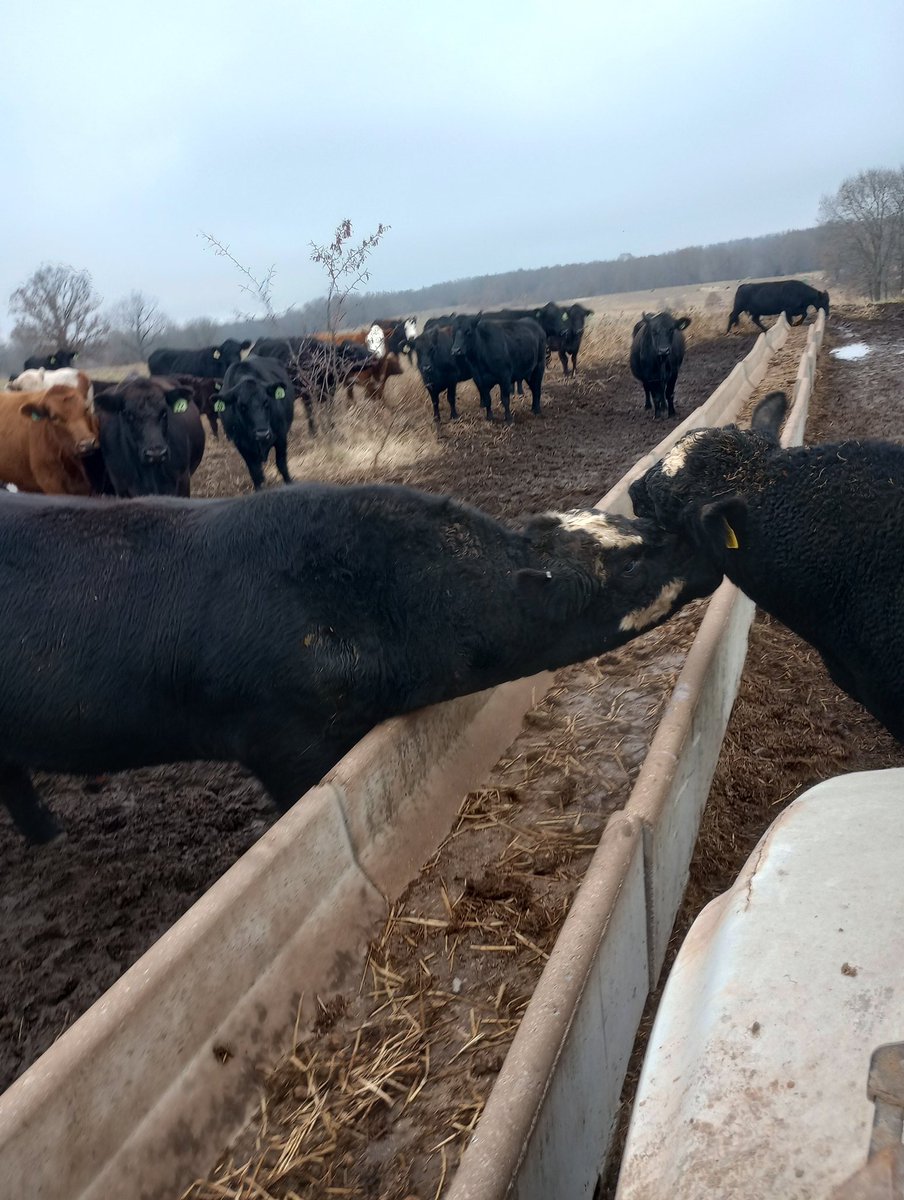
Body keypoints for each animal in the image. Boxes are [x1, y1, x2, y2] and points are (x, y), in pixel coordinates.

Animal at [217, 356, 295, 489]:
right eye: (242, 406)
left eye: (266, 401)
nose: (262, 434)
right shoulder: (242, 446)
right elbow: (256, 473)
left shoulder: (281, 437)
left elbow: (282, 464)